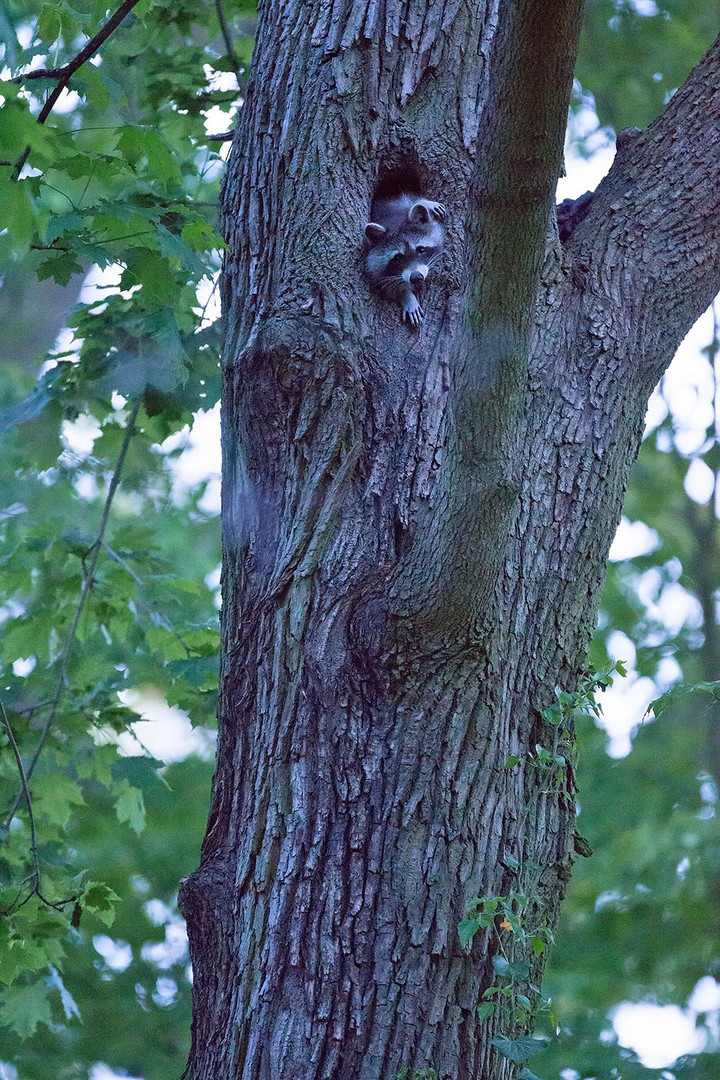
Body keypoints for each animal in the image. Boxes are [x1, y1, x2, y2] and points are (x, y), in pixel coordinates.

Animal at [367, 194, 444, 326]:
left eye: (421, 249)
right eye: (398, 257)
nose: (416, 278)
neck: (393, 216)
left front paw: (424, 202)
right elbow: (387, 285)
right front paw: (406, 296)